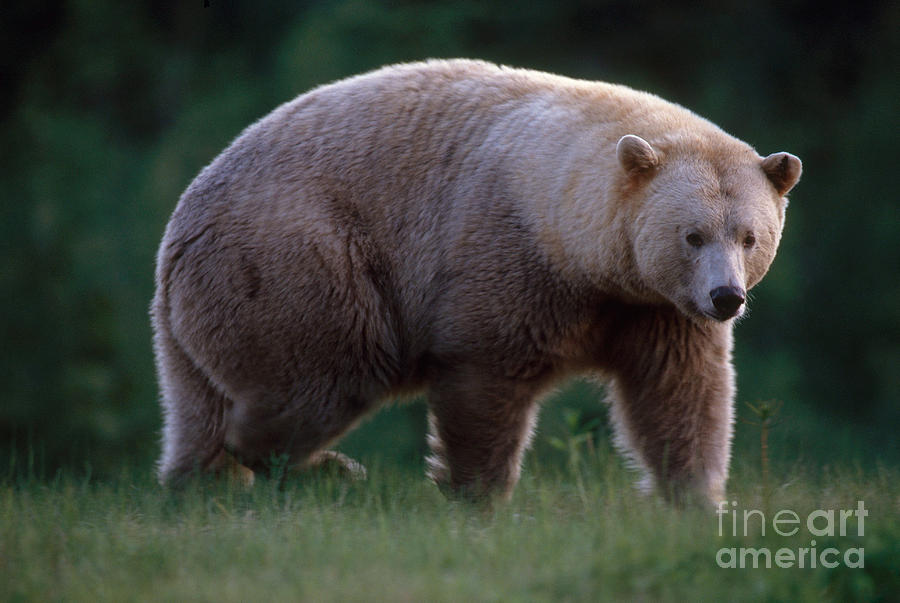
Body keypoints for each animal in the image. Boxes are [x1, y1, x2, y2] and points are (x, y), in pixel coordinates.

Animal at [153, 60, 800, 504]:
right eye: (693, 235)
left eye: (749, 236)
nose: (726, 297)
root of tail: (179, 231)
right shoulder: (505, 257)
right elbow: (484, 381)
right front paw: (476, 496)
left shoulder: (653, 308)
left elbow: (680, 392)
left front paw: (697, 500)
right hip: (301, 264)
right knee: (326, 373)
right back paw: (326, 469)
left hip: (200, 318)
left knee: (198, 410)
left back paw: (201, 487)